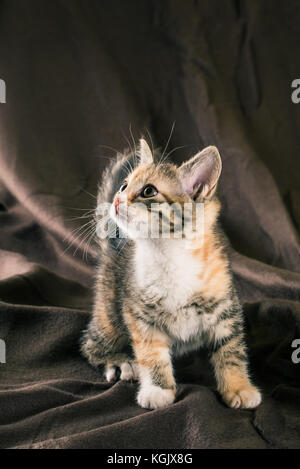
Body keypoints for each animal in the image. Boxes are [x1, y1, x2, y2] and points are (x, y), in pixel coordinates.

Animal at [81, 140, 262, 410]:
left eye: (148, 191)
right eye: (124, 185)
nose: (116, 199)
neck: (168, 254)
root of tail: (115, 248)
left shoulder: (226, 308)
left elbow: (231, 349)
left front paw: (239, 387)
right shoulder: (139, 314)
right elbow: (151, 354)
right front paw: (158, 390)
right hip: (109, 314)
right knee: (90, 345)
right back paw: (119, 361)